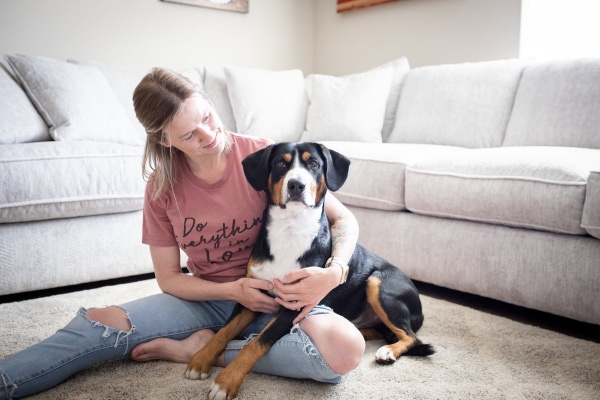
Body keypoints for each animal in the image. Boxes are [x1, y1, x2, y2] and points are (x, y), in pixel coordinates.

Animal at [183, 142, 432, 398]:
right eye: (280, 163)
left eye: (313, 163)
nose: (296, 184)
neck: (290, 230)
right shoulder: (251, 295)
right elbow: (223, 331)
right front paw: (200, 360)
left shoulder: (295, 304)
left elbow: (255, 344)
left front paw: (226, 381)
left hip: (377, 282)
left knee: (412, 338)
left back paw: (388, 351)